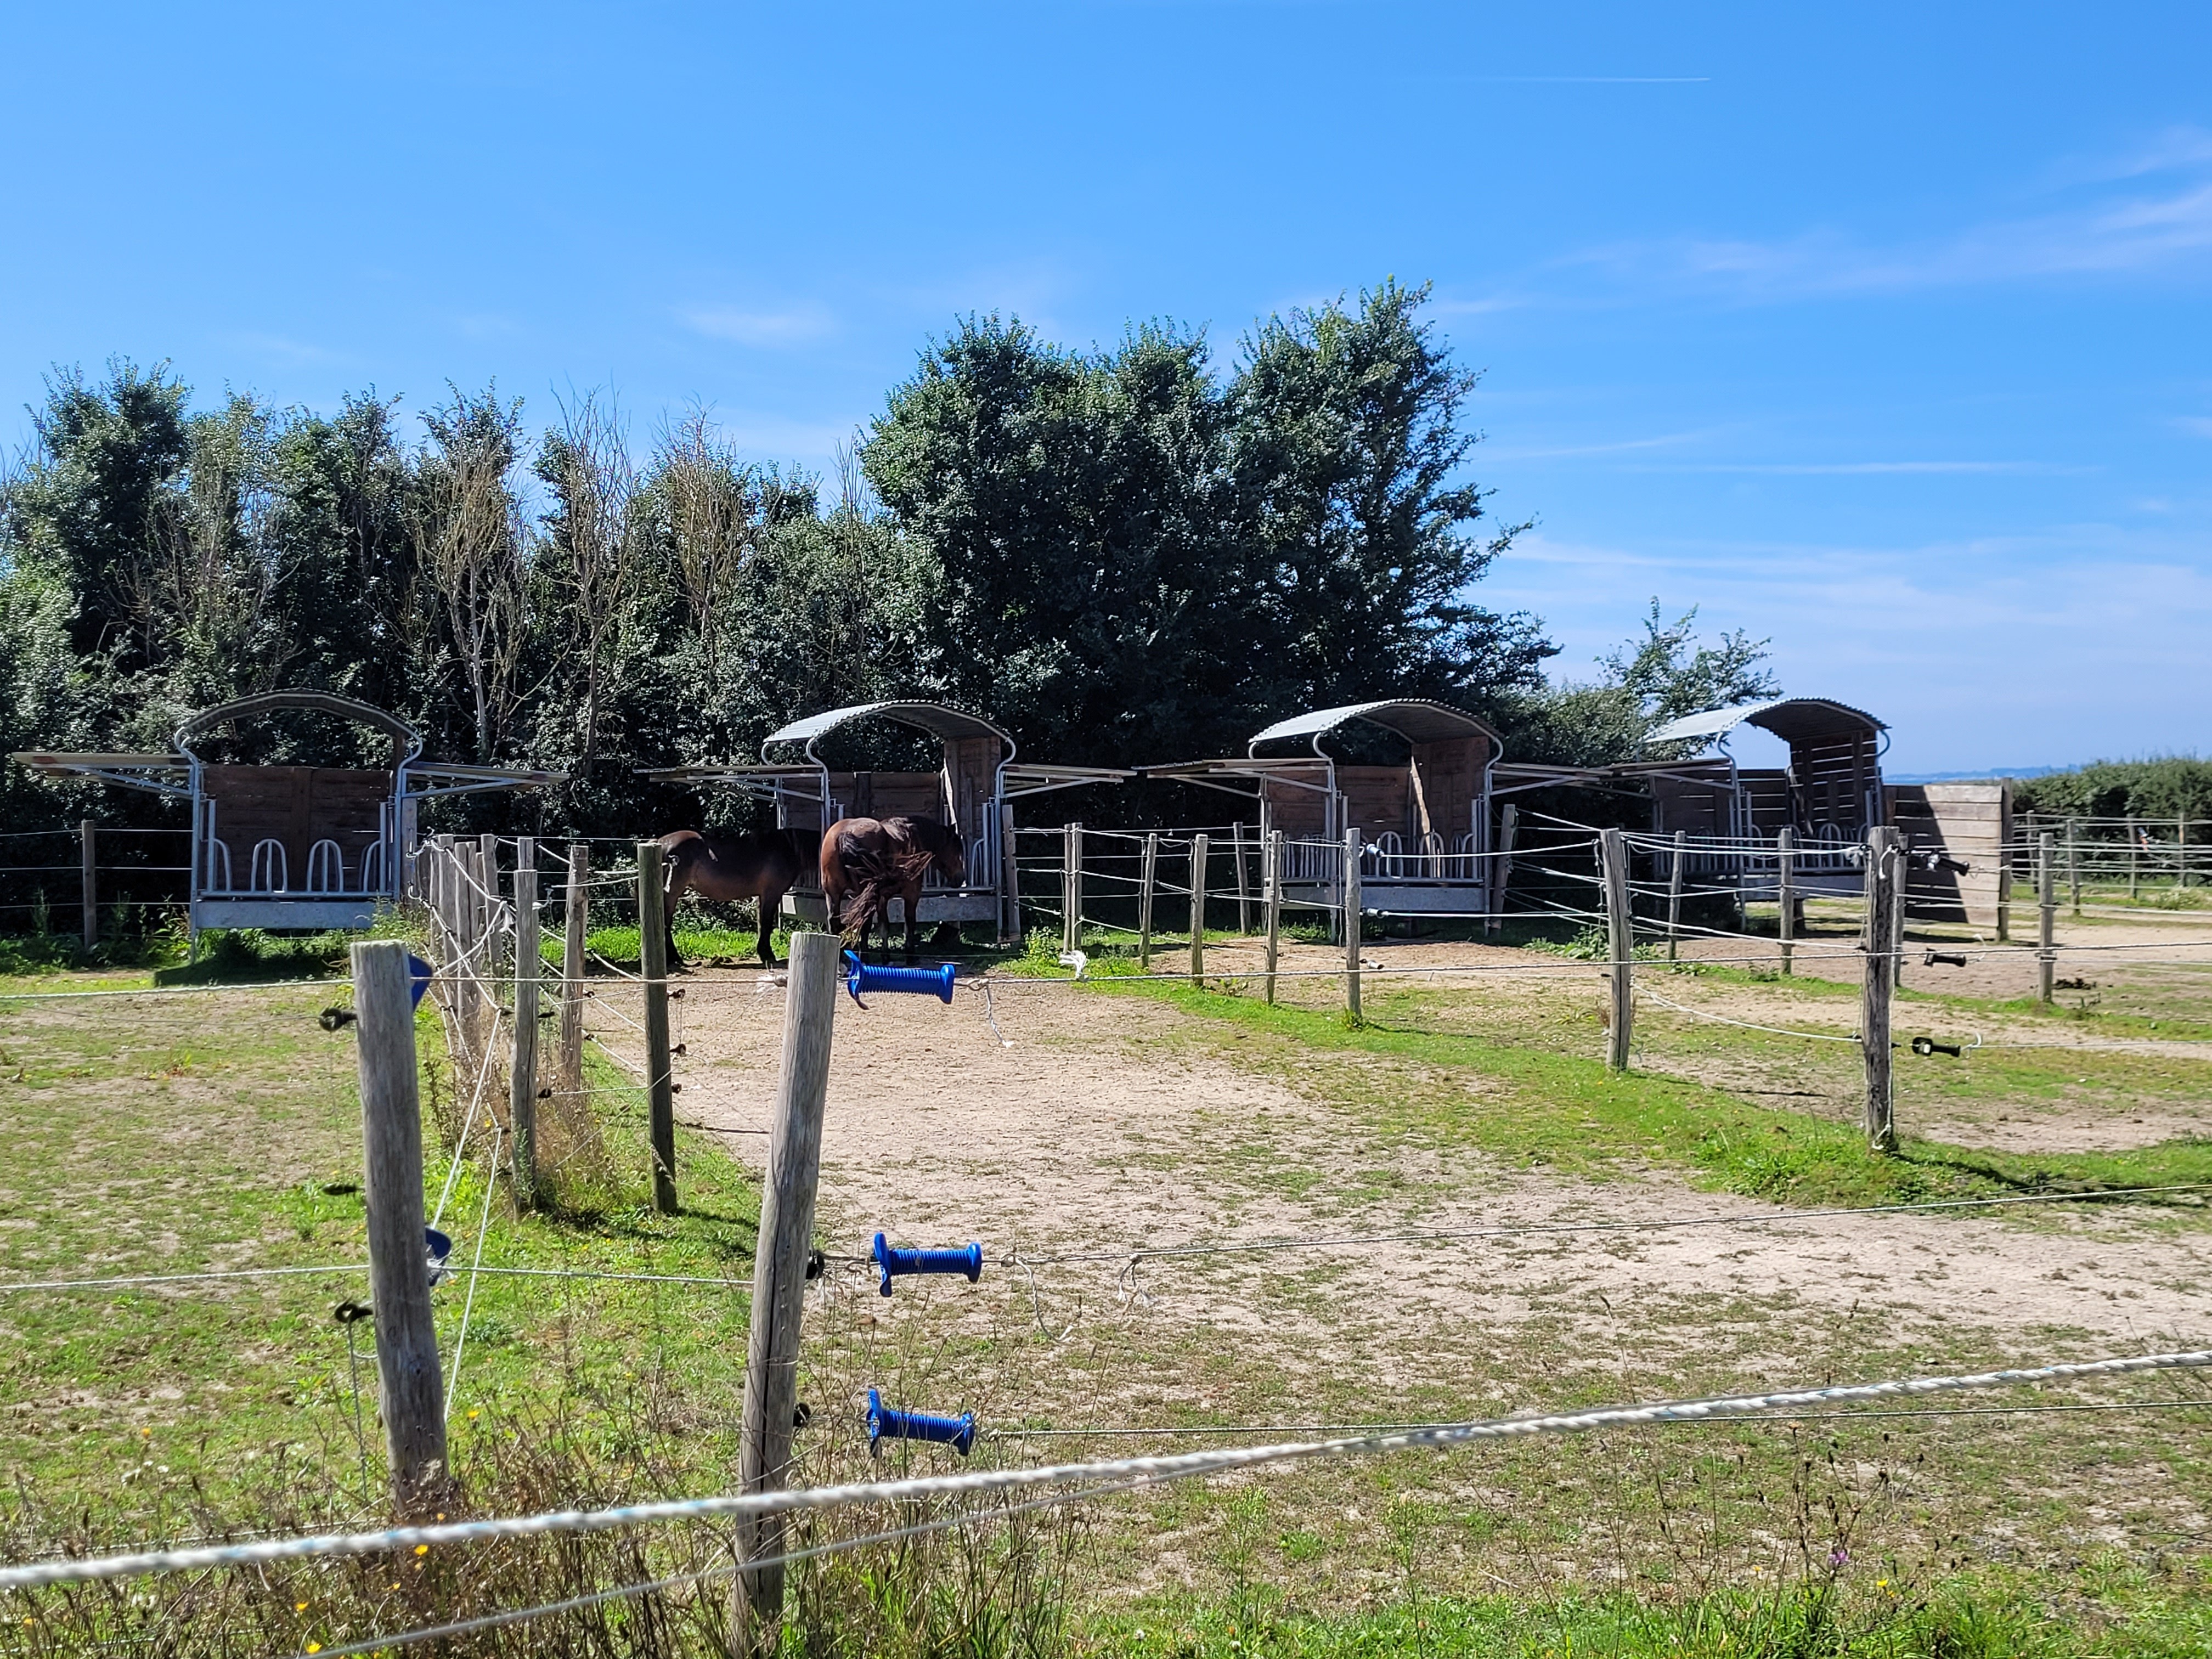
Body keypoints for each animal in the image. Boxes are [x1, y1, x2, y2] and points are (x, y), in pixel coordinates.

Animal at [663, 832, 832, 973]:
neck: (789, 848)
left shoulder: (762, 897)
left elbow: (761, 924)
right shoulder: (771, 894)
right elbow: (766, 924)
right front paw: (768, 956)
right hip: (672, 894)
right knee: (666, 924)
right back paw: (674, 959)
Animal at [822, 814, 969, 969]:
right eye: (957, 850)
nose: (960, 879)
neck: (914, 838)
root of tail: (845, 833)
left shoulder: (883, 898)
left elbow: (884, 926)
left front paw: (886, 957)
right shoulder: (912, 894)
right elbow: (910, 923)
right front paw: (910, 956)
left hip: (833, 893)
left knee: (835, 923)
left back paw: (840, 962)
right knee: (864, 924)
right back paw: (864, 959)